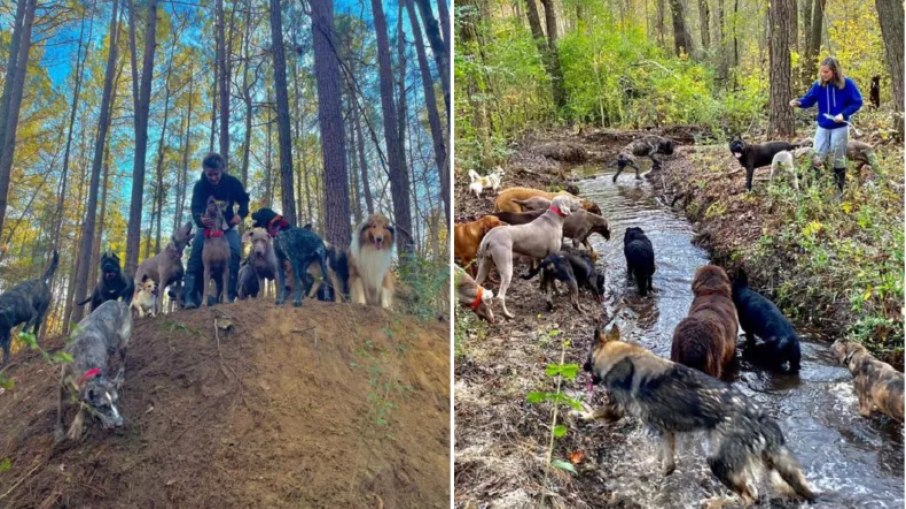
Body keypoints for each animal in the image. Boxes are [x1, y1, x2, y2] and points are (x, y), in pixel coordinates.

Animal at [584, 326, 816, 504]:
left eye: (588, 358)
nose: (583, 367)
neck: (620, 355)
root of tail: (759, 416)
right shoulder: (666, 431)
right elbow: (667, 463)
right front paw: (659, 471)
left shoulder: (617, 410)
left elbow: (594, 412)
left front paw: (580, 412)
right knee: (761, 490)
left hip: (718, 462)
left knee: (751, 497)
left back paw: (718, 502)